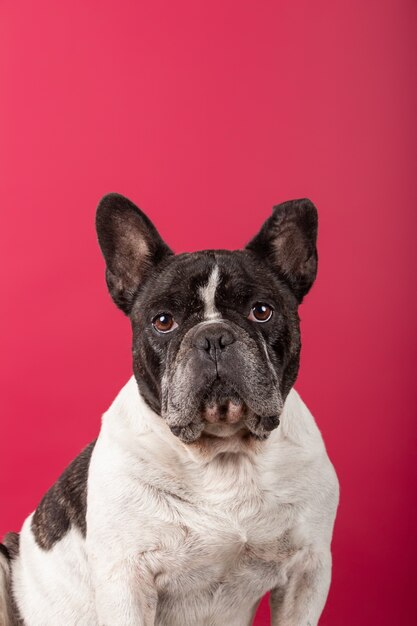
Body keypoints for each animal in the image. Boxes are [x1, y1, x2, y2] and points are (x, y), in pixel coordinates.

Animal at [0, 193, 338, 620]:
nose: (214, 336)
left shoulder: (308, 570)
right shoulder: (127, 578)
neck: (224, 456)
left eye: (262, 311)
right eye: (163, 321)